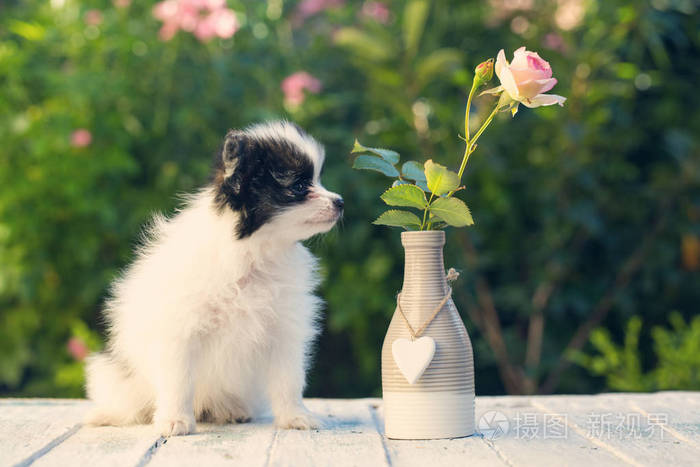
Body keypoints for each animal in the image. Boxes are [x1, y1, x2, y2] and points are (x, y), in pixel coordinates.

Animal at [86, 122, 344, 436]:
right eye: (298, 187)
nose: (340, 202)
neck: (254, 254)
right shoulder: (181, 331)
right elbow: (179, 381)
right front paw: (175, 420)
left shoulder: (284, 330)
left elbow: (289, 380)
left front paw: (295, 417)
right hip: (116, 375)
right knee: (129, 401)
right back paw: (107, 415)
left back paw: (230, 410)